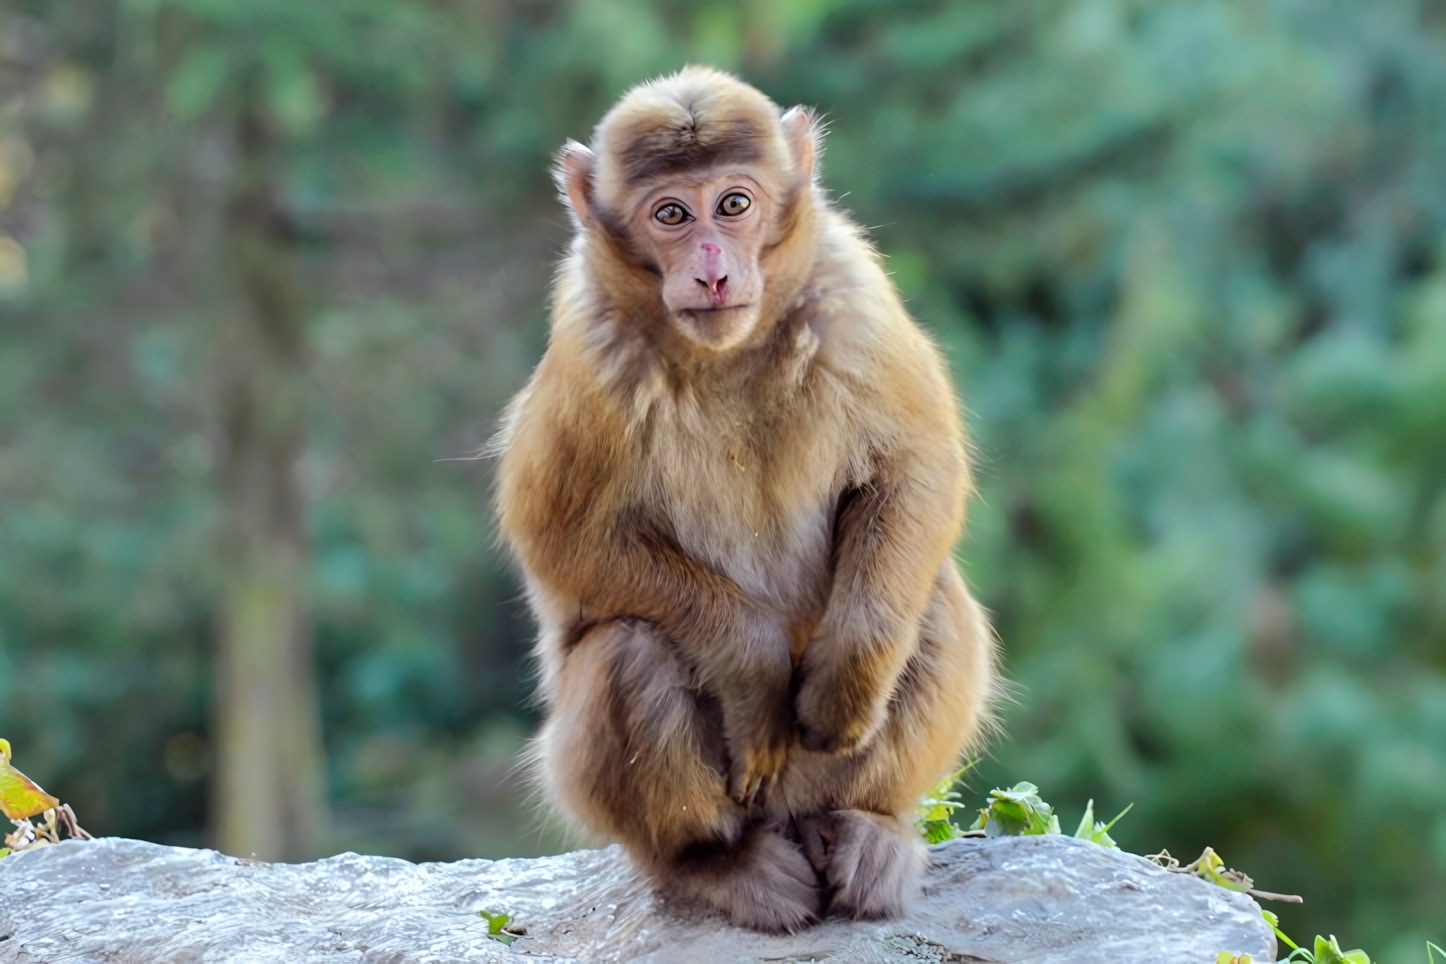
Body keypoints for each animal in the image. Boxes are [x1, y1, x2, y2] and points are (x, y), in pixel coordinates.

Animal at [494, 66, 994, 936]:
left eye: (733, 203)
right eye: (670, 214)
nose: (714, 268)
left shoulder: (852, 291)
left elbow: (915, 465)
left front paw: (843, 680)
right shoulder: (590, 345)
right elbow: (561, 535)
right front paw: (754, 667)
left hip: (825, 775)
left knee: (927, 598)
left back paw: (867, 827)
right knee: (630, 651)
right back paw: (713, 864)